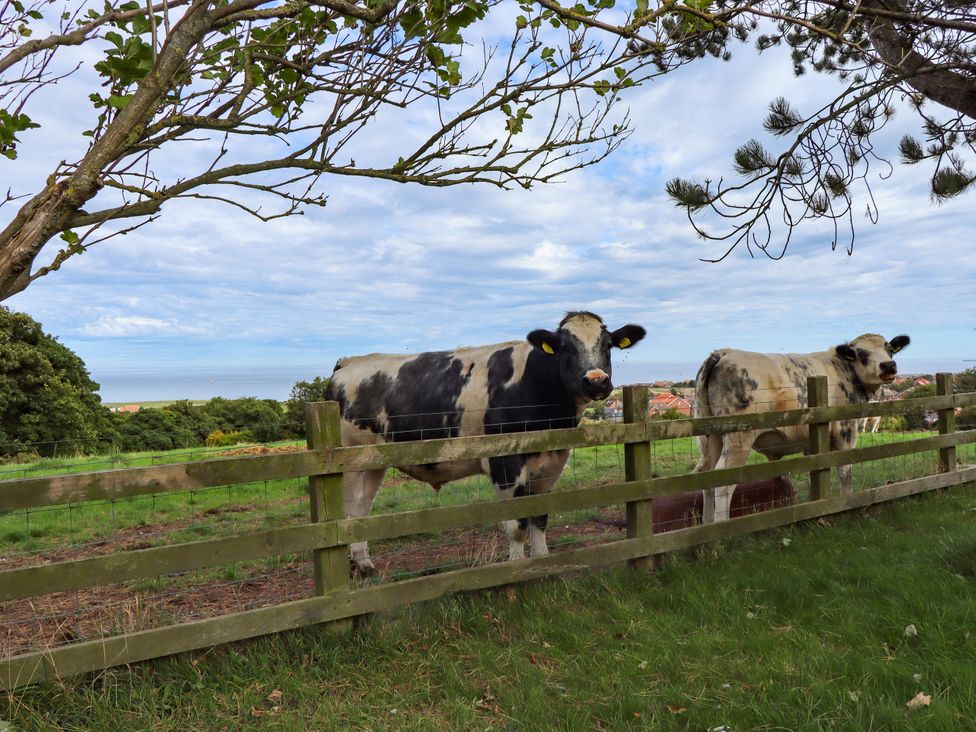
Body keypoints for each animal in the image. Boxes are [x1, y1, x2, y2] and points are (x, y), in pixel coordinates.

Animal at [324, 311, 647, 576]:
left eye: (608, 345)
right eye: (565, 347)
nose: (596, 380)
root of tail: (348, 363)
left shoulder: (552, 462)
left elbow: (540, 518)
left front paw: (544, 564)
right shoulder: (504, 463)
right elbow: (516, 527)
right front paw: (518, 571)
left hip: (373, 462)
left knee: (362, 507)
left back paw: (363, 563)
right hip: (351, 460)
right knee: (350, 507)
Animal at [693, 333, 911, 522]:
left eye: (889, 349)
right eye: (861, 353)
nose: (888, 365)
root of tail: (724, 352)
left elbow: (816, 470)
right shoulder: (845, 431)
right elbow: (845, 471)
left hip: (711, 437)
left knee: (706, 475)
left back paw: (707, 524)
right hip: (738, 439)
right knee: (724, 483)